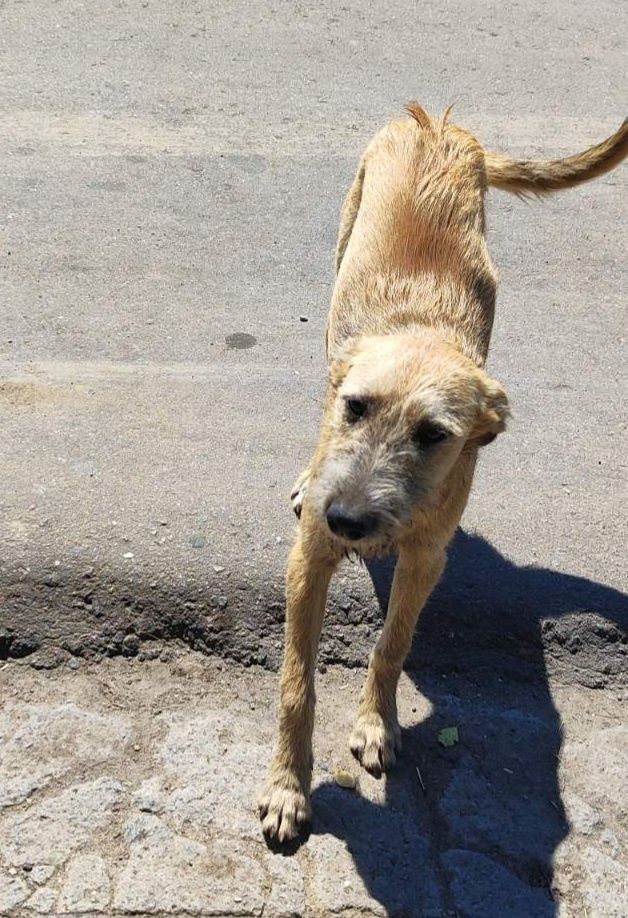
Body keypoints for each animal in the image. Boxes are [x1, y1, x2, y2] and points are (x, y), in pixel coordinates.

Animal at [258, 104, 628, 844]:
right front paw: (287, 785)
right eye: (355, 407)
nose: (346, 518)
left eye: (434, 436)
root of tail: (437, 122)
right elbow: (295, 683)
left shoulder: (427, 556)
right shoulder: (309, 556)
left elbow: (393, 642)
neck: (424, 331)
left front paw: (377, 721)